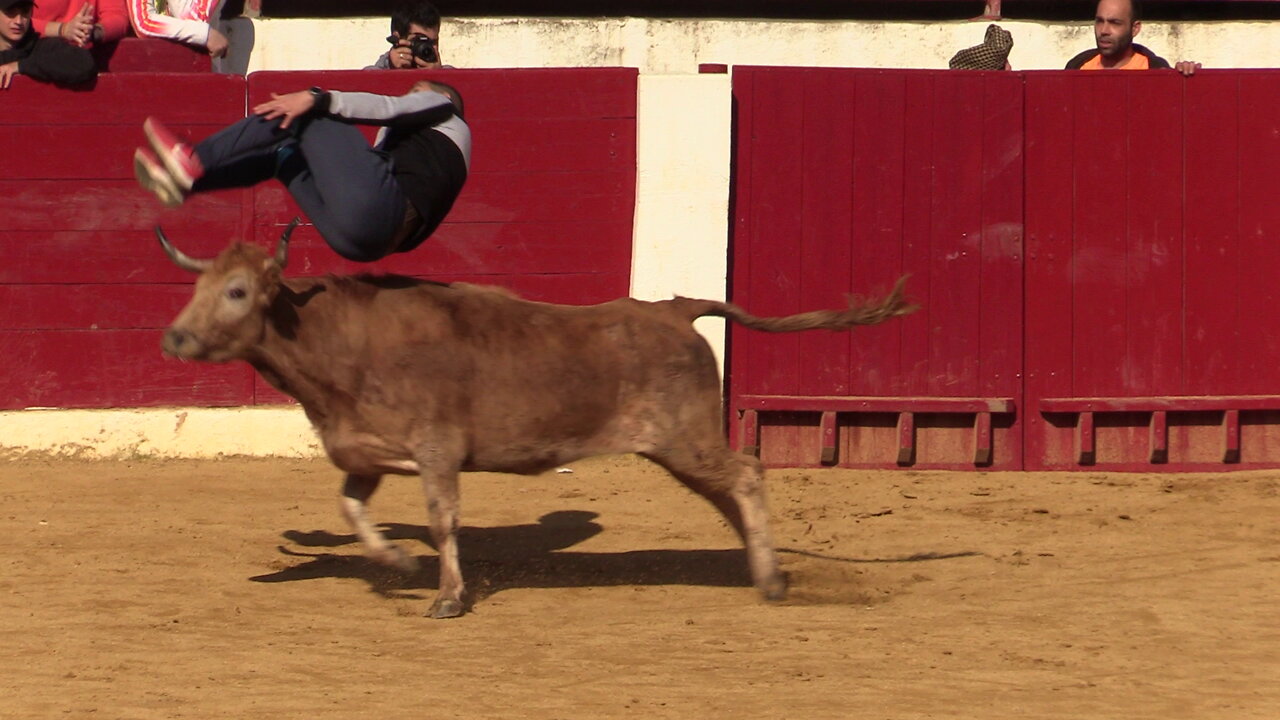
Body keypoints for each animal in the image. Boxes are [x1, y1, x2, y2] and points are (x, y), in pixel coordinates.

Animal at [157, 220, 921, 617]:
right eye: (197, 285)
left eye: (236, 290)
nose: (175, 338)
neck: (338, 345)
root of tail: (673, 308)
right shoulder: (367, 455)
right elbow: (353, 511)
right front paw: (398, 562)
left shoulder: (435, 451)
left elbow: (443, 520)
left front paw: (447, 597)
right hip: (680, 448)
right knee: (731, 491)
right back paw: (761, 569)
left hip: (686, 439)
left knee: (748, 473)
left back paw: (769, 579)